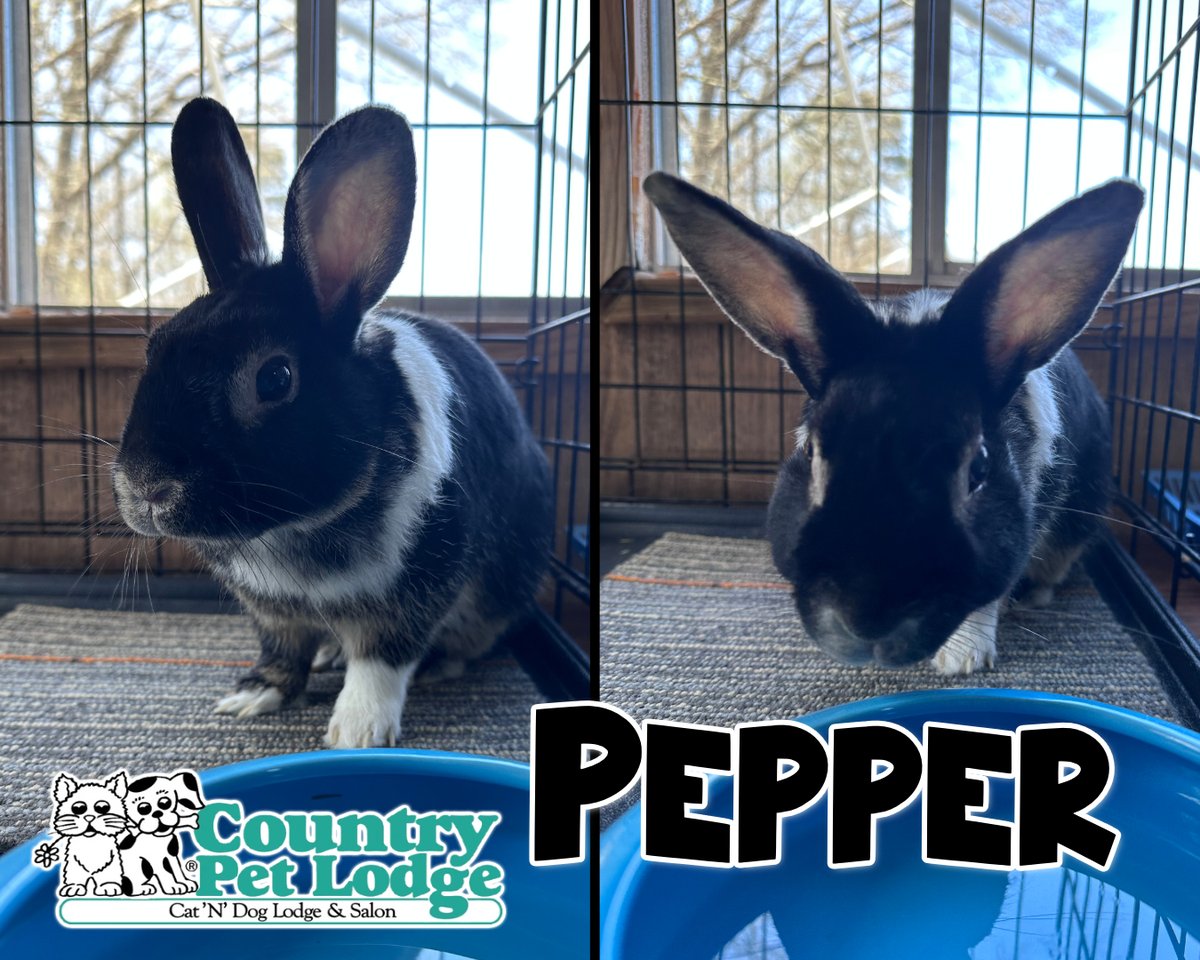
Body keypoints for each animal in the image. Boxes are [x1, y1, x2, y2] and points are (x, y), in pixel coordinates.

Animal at [111, 97, 552, 746]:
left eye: (275, 378)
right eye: (154, 349)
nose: (145, 488)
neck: (294, 533)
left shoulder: (412, 596)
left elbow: (382, 661)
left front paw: (357, 730)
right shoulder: (271, 613)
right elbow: (283, 651)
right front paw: (253, 696)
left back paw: (436, 668)